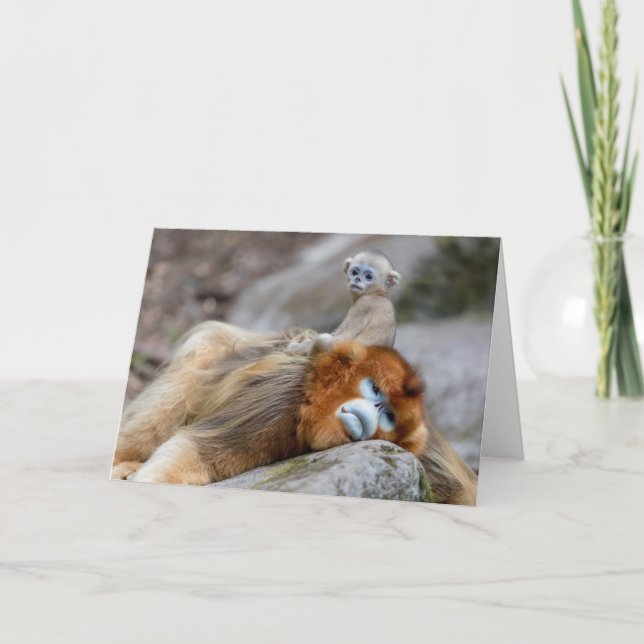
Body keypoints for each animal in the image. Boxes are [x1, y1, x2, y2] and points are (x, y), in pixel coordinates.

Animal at [111, 321, 477, 505]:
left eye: (389, 415)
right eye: (374, 390)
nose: (373, 412)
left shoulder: (425, 458)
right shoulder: (284, 396)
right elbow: (196, 451)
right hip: (210, 353)